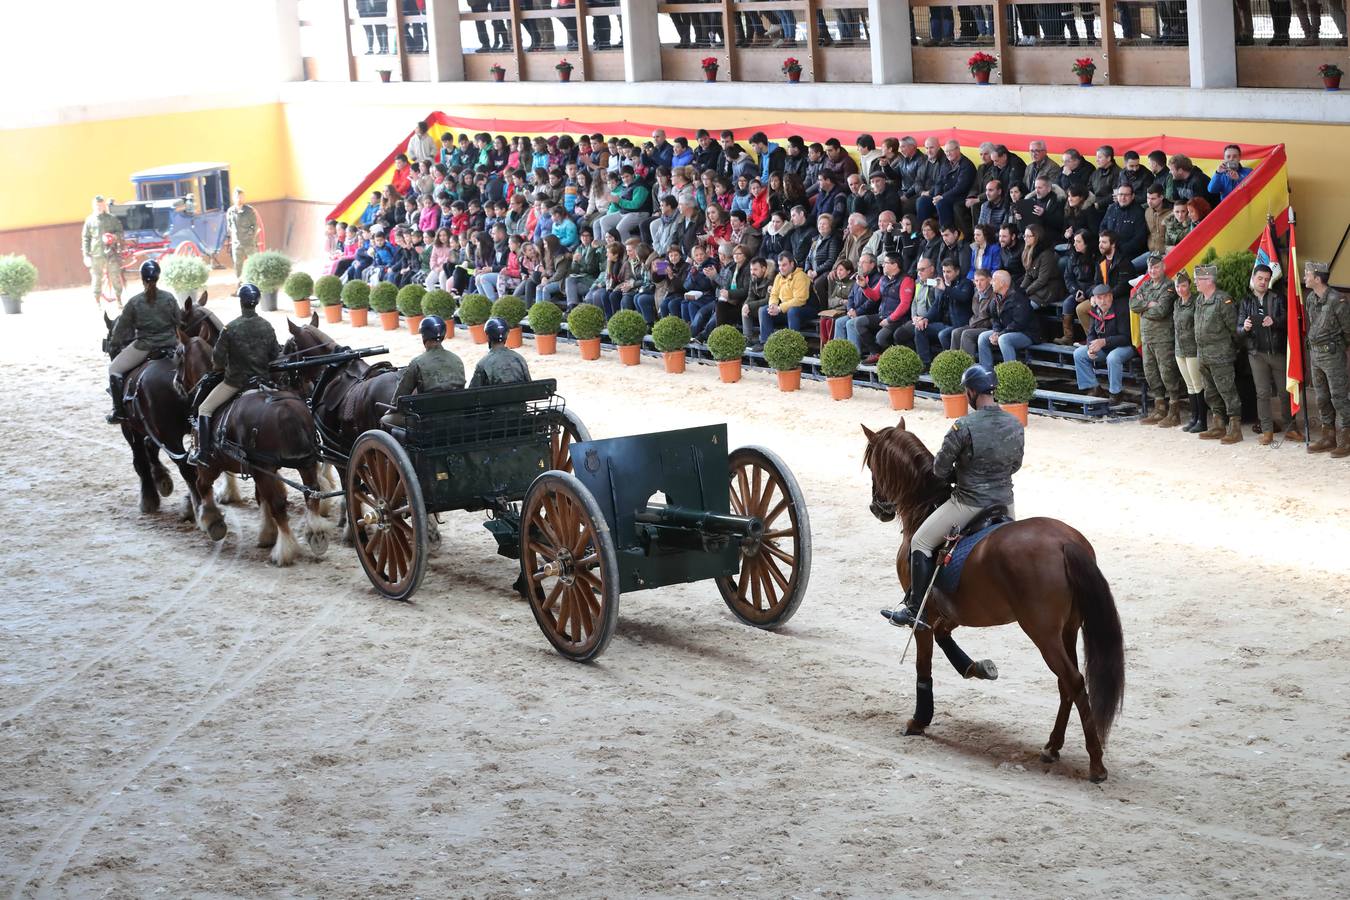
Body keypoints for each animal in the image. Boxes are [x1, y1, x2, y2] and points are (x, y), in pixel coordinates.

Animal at [175, 334, 330, 566]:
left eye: (178, 356)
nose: (176, 383)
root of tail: (286, 410)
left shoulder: (210, 464)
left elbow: (203, 486)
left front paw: (212, 521)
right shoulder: (262, 470)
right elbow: (261, 497)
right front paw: (267, 533)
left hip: (262, 466)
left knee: (279, 504)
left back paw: (284, 551)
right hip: (305, 463)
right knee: (311, 494)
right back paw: (316, 533)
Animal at [864, 420, 1128, 782]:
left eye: (872, 464)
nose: (878, 509)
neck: (925, 506)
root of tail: (1066, 543)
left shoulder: (925, 613)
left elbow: (923, 664)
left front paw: (919, 720)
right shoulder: (951, 612)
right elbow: (945, 637)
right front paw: (977, 668)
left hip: (1043, 633)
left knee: (1074, 681)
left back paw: (1096, 764)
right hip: (1067, 631)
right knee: (1067, 684)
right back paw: (1052, 747)